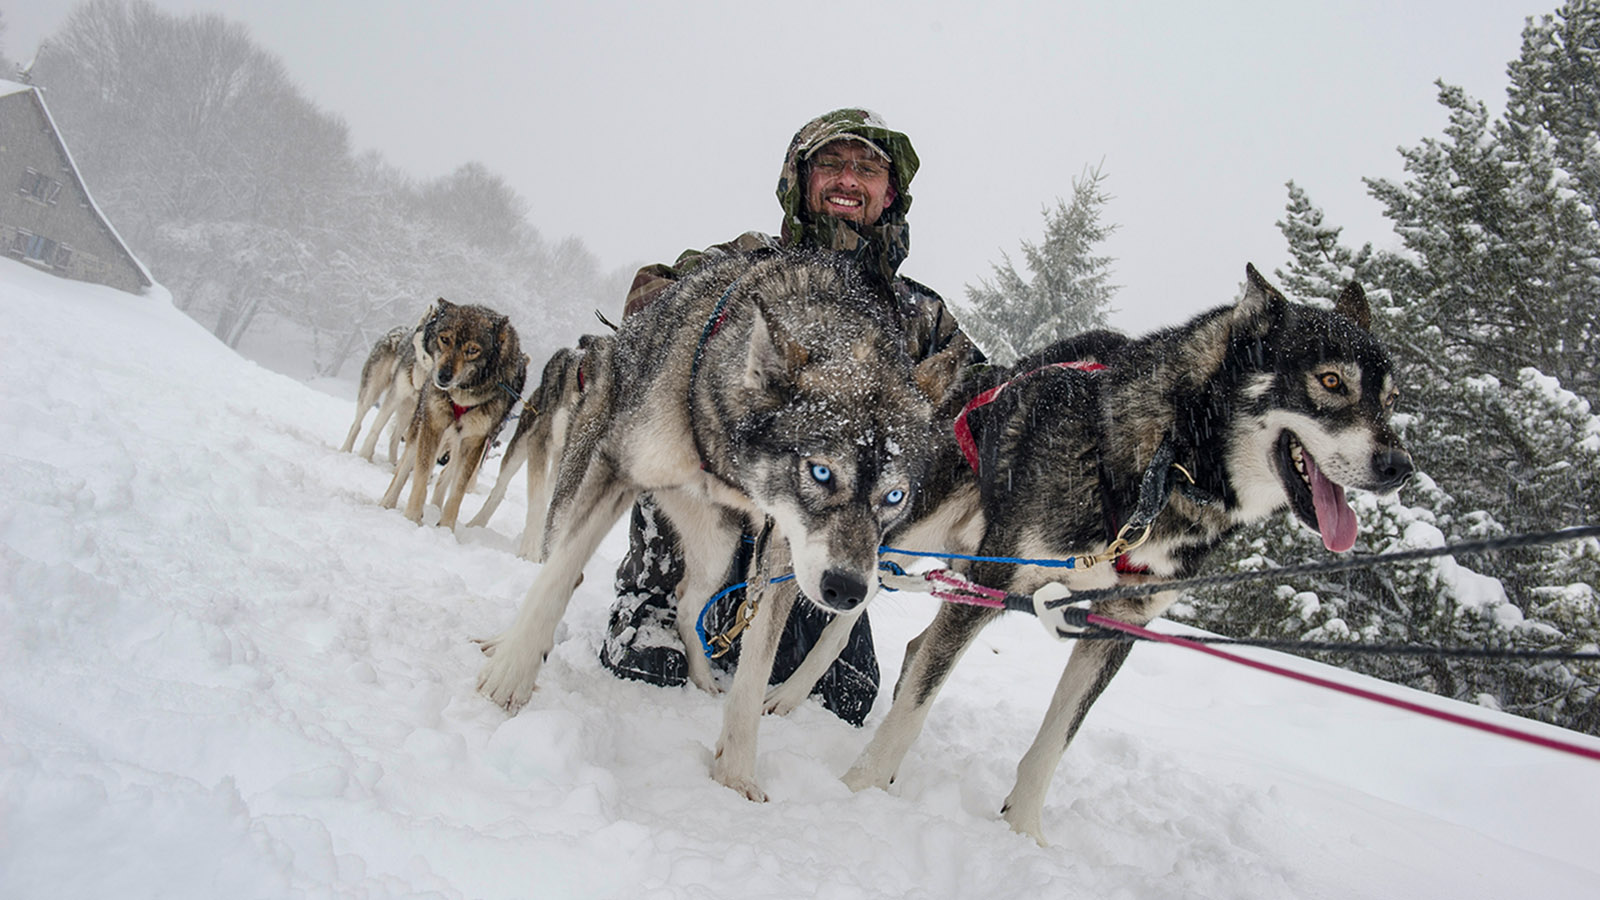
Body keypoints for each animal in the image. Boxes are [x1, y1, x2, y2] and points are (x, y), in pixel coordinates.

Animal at [377, 297, 528, 528]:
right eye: (445, 339)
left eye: (472, 350)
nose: (443, 376)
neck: (462, 395)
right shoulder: (433, 426)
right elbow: (421, 475)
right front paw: (412, 518)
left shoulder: (473, 442)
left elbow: (457, 491)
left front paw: (446, 528)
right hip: (422, 427)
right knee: (406, 465)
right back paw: (388, 502)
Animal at [838, 262, 1414, 845]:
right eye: (1331, 381)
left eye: (1391, 401)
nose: (1400, 466)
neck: (1169, 465)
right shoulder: (993, 584)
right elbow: (916, 706)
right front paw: (861, 787)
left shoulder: (1116, 628)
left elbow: (1053, 743)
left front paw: (1024, 834)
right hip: (900, 540)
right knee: (839, 618)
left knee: (916, 646)